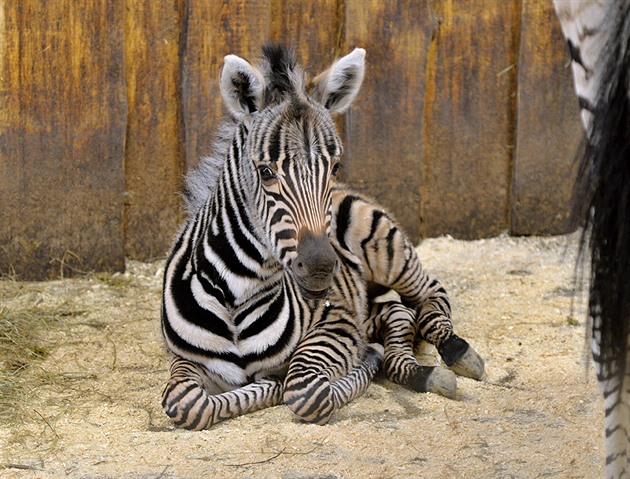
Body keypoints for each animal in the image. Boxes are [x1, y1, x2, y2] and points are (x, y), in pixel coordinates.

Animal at [160, 45, 486, 432]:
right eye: (266, 172)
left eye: (335, 167)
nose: (321, 268)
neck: (236, 292)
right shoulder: (183, 359)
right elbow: (184, 401)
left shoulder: (336, 323)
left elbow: (307, 391)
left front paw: (354, 365)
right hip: (365, 300)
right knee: (397, 313)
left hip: (384, 248)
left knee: (429, 294)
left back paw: (454, 352)